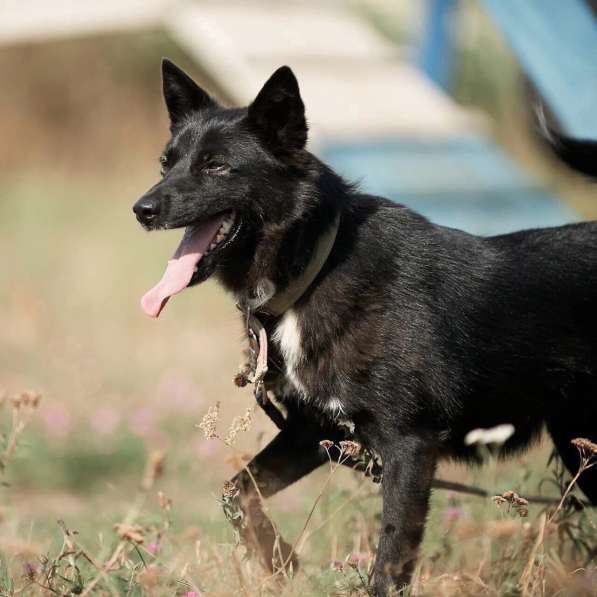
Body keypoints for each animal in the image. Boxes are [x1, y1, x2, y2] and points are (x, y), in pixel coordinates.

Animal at [135, 60, 596, 592]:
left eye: (216, 166)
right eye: (166, 163)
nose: (141, 210)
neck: (315, 267)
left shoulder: (410, 447)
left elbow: (390, 556)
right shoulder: (313, 431)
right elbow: (236, 493)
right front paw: (282, 561)